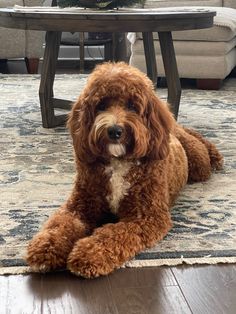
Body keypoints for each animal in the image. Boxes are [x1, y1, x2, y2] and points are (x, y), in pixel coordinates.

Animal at [26, 61, 223, 278]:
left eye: (132, 106)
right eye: (101, 105)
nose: (114, 131)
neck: (118, 161)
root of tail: (171, 126)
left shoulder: (146, 217)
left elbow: (113, 234)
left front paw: (89, 253)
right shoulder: (79, 205)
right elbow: (61, 223)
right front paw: (46, 246)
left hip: (198, 164)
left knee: (198, 140)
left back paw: (214, 155)